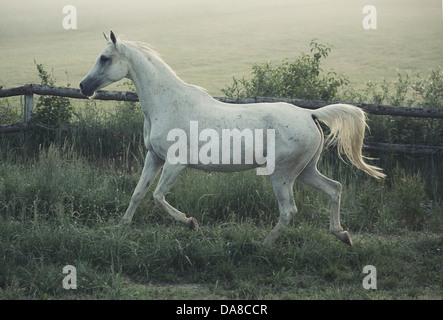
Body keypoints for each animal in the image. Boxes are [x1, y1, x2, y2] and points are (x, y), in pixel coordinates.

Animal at [80, 31, 386, 246]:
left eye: (105, 58)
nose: (83, 86)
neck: (167, 103)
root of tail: (310, 114)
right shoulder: (154, 157)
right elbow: (138, 193)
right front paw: (122, 227)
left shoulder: (175, 164)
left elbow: (157, 196)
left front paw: (191, 223)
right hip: (305, 171)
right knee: (334, 188)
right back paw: (342, 235)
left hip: (283, 175)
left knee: (289, 210)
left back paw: (264, 245)